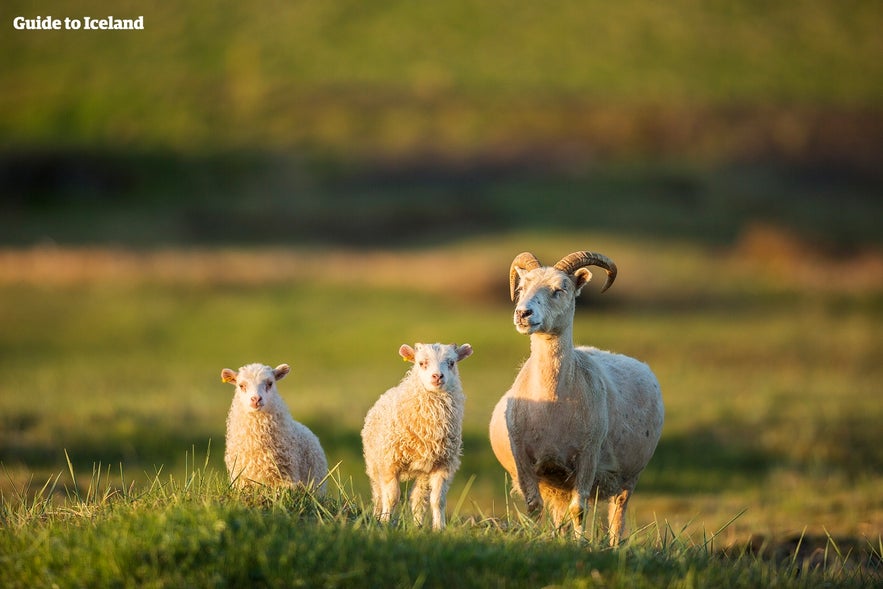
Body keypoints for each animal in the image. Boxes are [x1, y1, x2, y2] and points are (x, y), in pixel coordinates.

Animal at [360, 340, 474, 528]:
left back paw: (418, 525)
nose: (437, 376)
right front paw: (384, 522)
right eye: (421, 363)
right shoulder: (390, 461)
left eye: (451, 363)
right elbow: (391, 497)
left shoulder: (443, 464)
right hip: (374, 462)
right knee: (378, 494)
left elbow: (438, 500)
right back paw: (377, 516)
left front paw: (439, 528)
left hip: (422, 472)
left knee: (418, 498)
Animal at [490, 250, 664, 544]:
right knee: (559, 512)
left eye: (560, 289)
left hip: (628, 476)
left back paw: (614, 545)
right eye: (521, 288)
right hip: (556, 481)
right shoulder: (524, 459)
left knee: (617, 514)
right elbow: (534, 507)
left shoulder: (587, 457)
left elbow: (579, 509)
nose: (523, 313)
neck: (552, 403)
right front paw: (538, 539)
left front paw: (580, 543)